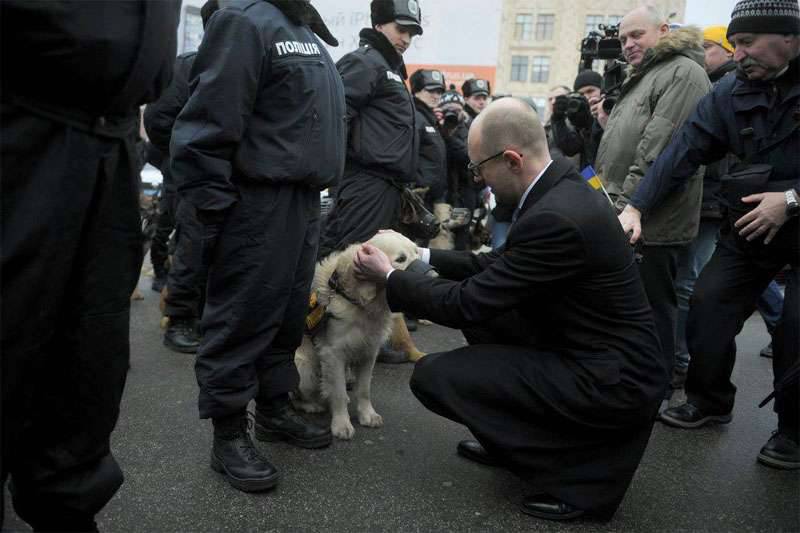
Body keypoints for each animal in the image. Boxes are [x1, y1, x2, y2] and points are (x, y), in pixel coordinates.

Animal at [292, 231, 418, 438]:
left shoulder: (369, 352)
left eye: (417, 252)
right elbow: (339, 393)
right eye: (401, 259)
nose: (434, 273)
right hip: (304, 367)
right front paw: (341, 424)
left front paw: (367, 415)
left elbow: (364, 389)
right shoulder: (333, 354)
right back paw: (312, 405)